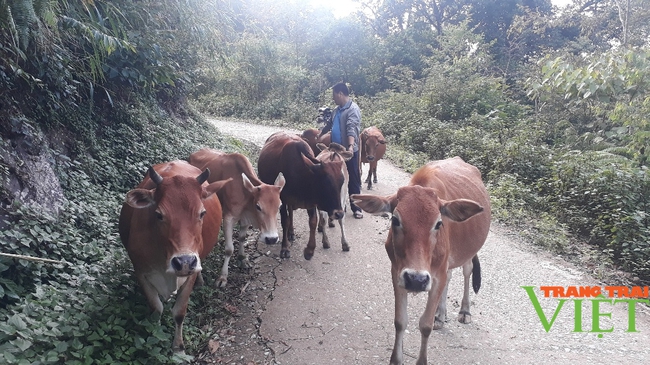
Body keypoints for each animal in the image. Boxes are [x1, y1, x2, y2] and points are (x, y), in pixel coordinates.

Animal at [117, 161, 232, 352]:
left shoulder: (189, 274)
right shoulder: (141, 272)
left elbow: (179, 312)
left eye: (202, 213)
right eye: (158, 214)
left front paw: (178, 347)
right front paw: (154, 335)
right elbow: (156, 310)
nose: (184, 262)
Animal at [190, 148, 286, 288]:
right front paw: (223, 277)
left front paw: (242, 259)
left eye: (280, 206)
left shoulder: (245, 218)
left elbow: (242, 238)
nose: (271, 239)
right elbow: (229, 249)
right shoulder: (228, 218)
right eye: (258, 206)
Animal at [352, 156, 488, 364]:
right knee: (450, 276)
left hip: (468, 252)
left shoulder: (435, 275)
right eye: (395, 220)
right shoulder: (397, 273)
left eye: (438, 223)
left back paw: (464, 311)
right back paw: (440, 315)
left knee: (467, 270)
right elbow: (400, 321)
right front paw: (395, 359)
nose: (416, 280)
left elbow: (425, 325)